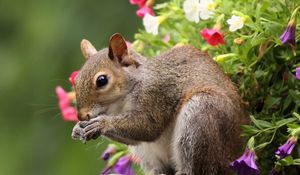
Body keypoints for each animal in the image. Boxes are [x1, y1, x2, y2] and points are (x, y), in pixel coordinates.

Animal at [71, 33, 247, 175]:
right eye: (76, 80)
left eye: (102, 80)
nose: (81, 115)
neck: (121, 104)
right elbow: (136, 138)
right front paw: (78, 129)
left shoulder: (158, 93)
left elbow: (149, 127)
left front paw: (101, 123)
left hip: (201, 118)